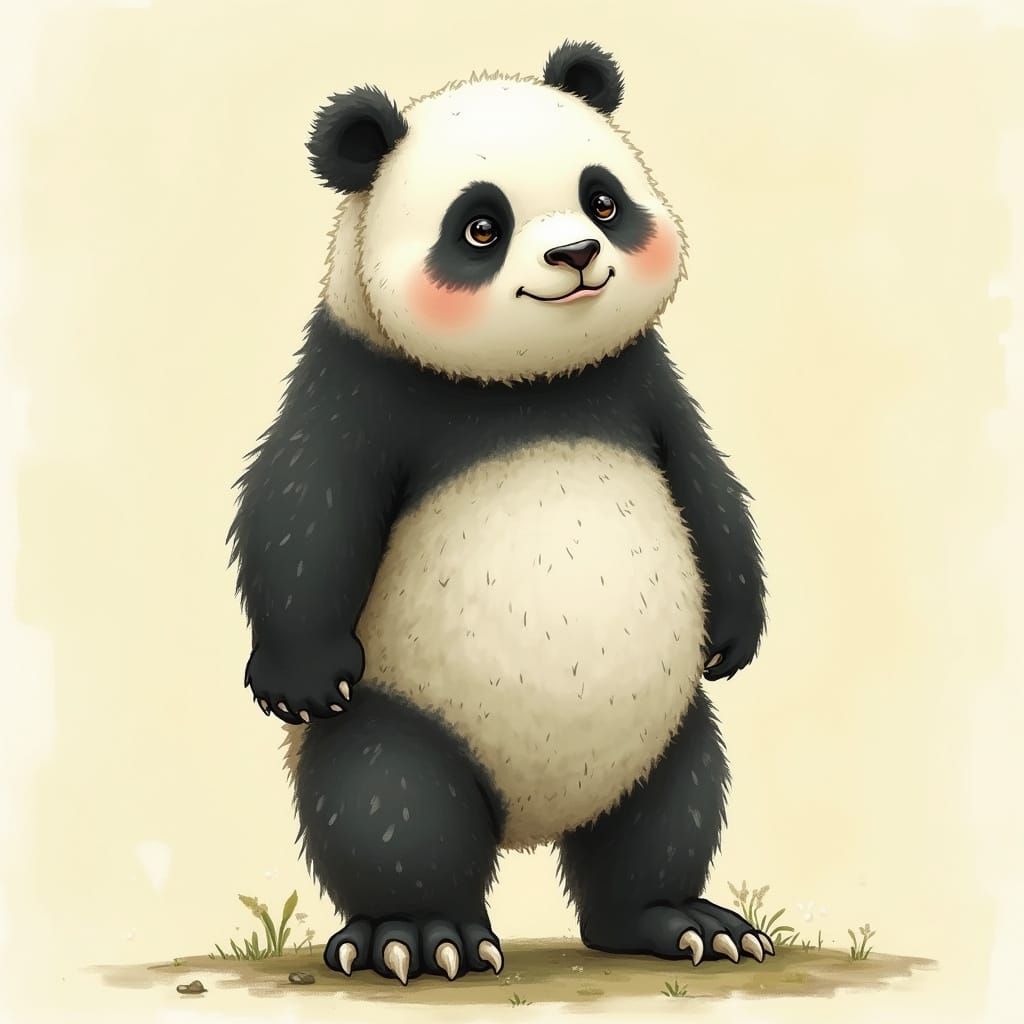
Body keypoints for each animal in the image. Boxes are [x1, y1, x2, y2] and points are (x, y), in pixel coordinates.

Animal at [228, 40, 768, 986]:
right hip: (407, 707)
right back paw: (416, 936)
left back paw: (680, 922)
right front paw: (298, 676)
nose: (578, 253)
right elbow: (306, 502)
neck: (530, 384)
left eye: (603, 199)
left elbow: (707, 487)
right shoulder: (365, 381)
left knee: (670, 805)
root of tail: (535, 819)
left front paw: (735, 634)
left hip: (662, 723)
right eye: (481, 228)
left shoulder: (637, 377)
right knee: (388, 797)